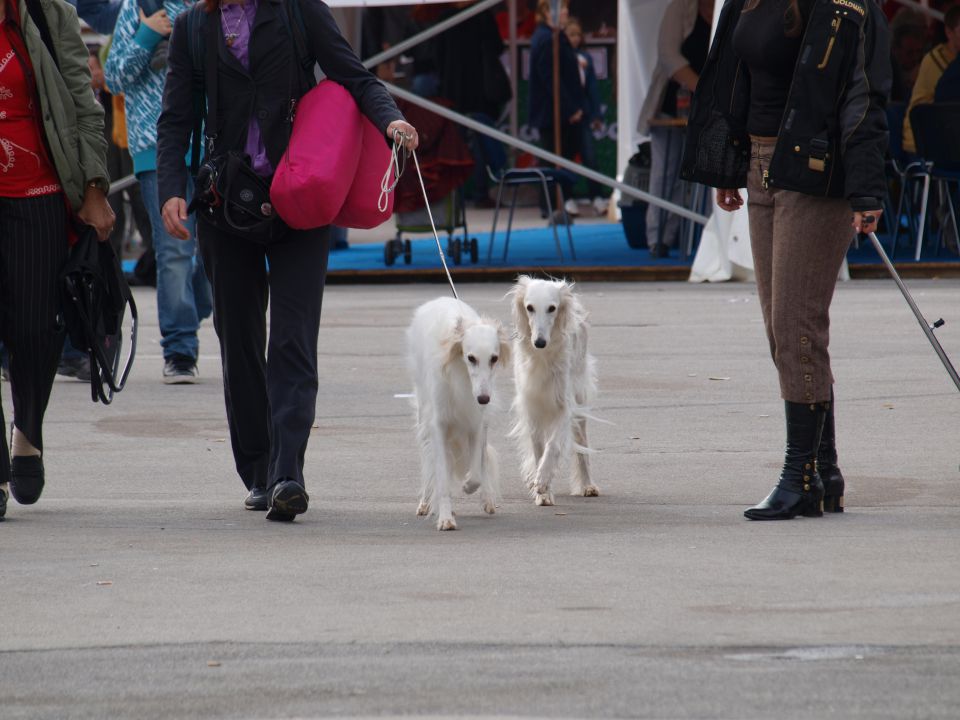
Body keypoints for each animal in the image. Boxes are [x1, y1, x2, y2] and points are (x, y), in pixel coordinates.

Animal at [404, 296, 510, 528]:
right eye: (470, 358)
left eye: (494, 358)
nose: (483, 399)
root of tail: (438, 299)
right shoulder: (438, 425)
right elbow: (442, 478)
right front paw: (445, 518)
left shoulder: (476, 420)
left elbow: (477, 472)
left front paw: (469, 487)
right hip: (424, 414)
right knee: (428, 459)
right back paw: (425, 502)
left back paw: (487, 499)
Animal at [506, 276, 596, 506]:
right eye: (529, 307)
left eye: (552, 308)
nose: (539, 342)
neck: (543, 357)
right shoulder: (532, 405)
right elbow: (538, 449)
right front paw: (542, 493)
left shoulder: (564, 404)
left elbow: (553, 445)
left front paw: (543, 479)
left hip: (579, 397)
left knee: (582, 442)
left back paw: (588, 485)